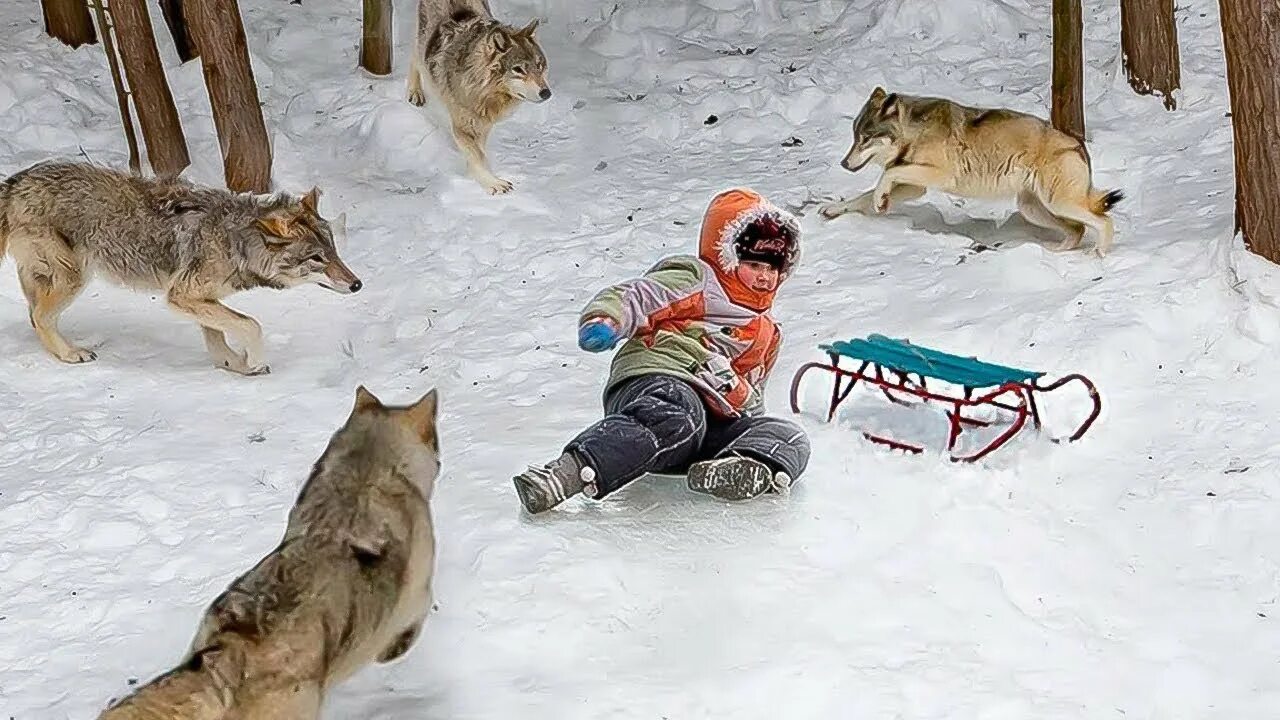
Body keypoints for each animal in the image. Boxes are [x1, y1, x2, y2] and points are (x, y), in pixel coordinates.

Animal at [0, 161, 363, 376]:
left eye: (334, 251)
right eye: (316, 258)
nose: (357, 284)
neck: (236, 240)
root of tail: (17, 181)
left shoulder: (198, 298)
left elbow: (218, 334)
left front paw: (234, 363)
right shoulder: (182, 295)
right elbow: (251, 325)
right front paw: (255, 362)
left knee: (34, 315)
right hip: (73, 278)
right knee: (40, 317)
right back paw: (71, 353)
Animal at [407, 0, 552, 193]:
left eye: (539, 65)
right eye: (518, 70)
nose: (547, 93)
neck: (484, 93)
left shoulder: (484, 124)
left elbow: (479, 152)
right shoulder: (462, 127)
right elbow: (477, 156)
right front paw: (493, 183)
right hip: (423, 41)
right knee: (415, 57)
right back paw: (415, 92)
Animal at [824, 87, 1126, 256]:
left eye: (865, 139)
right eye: (855, 137)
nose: (844, 164)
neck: (913, 133)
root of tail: (1079, 145)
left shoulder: (938, 175)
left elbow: (884, 177)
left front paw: (879, 199)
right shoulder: (915, 187)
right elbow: (864, 195)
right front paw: (834, 210)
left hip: (1059, 203)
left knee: (1104, 222)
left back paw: (1099, 253)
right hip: (1034, 209)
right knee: (1077, 230)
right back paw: (1051, 252)